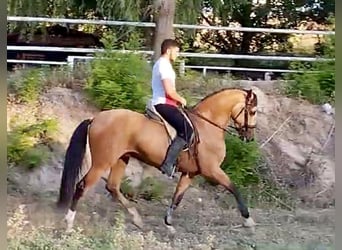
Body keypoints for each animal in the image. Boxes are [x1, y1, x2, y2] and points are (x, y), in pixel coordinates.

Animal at [57, 87, 258, 232]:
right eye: (253, 111)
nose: (249, 138)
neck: (207, 126)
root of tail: (95, 118)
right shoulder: (212, 170)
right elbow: (234, 188)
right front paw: (248, 220)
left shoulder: (190, 173)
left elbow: (177, 197)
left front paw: (168, 224)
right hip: (102, 162)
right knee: (82, 186)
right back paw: (69, 223)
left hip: (121, 158)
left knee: (112, 186)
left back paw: (136, 219)